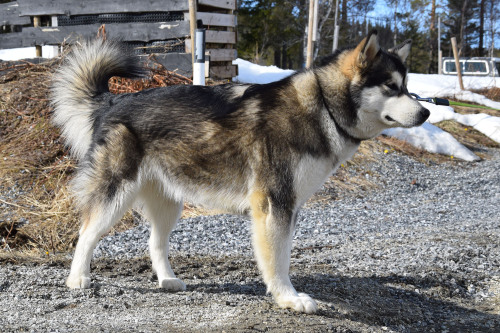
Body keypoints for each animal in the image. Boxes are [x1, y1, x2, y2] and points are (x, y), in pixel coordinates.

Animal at [50, 29, 430, 312]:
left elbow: (282, 255)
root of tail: (113, 100)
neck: (322, 105)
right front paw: (288, 298)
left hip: (169, 203)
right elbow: (278, 260)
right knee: (86, 233)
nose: (426, 113)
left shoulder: (288, 207)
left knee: (155, 243)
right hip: (116, 195)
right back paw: (77, 279)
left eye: (408, 87)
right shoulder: (274, 205)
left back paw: (167, 280)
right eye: (391, 86)